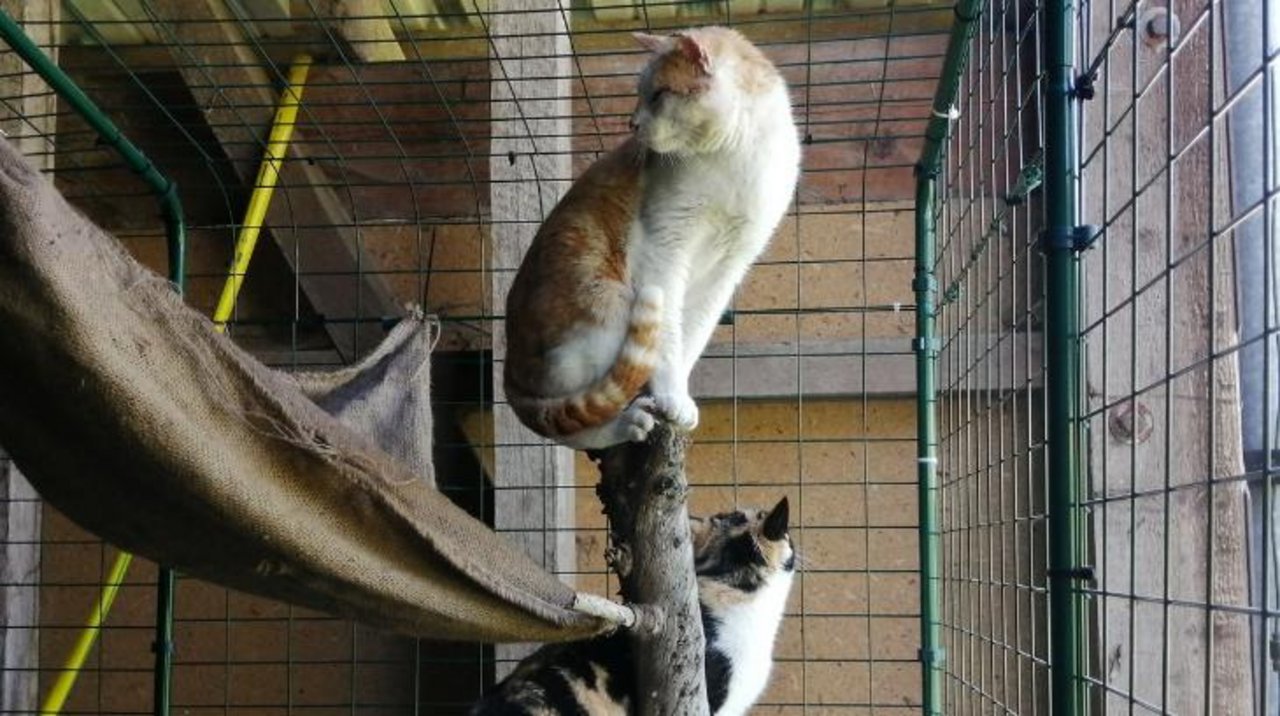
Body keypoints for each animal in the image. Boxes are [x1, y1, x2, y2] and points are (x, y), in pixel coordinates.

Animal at [501, 29, 793, 453]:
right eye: (640, 95)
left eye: (657, 94)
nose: (632, 123)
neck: (734, 159)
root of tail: (507, 369)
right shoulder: (663, 248)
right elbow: (667, 336)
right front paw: (671, 396)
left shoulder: (727, 270)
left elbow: (691, 336)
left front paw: (678, 396)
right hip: (609, 304)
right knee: (568, 423)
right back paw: (627, 424)